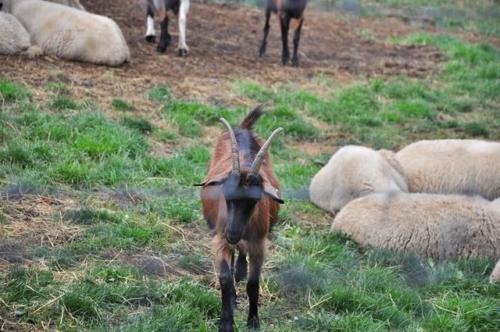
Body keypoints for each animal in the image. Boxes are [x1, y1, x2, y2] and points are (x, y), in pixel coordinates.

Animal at [199, 107, 286, 330]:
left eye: (255, 200)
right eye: (226, 195)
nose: (233, 233)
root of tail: (244, 128)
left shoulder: (259, 244)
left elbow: (253, 284)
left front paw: (253, 321)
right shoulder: (219, 240)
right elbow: (224, 278)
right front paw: (226, 322)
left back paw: (240, 269)